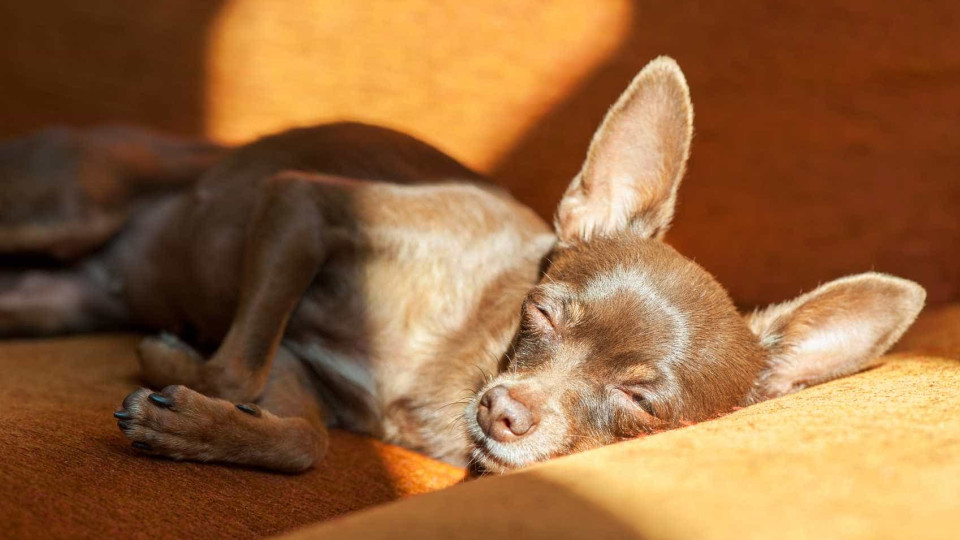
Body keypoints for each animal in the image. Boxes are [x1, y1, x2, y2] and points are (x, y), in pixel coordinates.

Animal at [0, 57, 924, 472]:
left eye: (639, 401)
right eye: (542, 312)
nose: (507, 410)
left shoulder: (300, 366)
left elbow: (302, 437)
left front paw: (190, 417)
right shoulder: (304, 207)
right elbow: (236, 368)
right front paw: (176, 367)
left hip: (52, 301)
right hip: (63, 203)